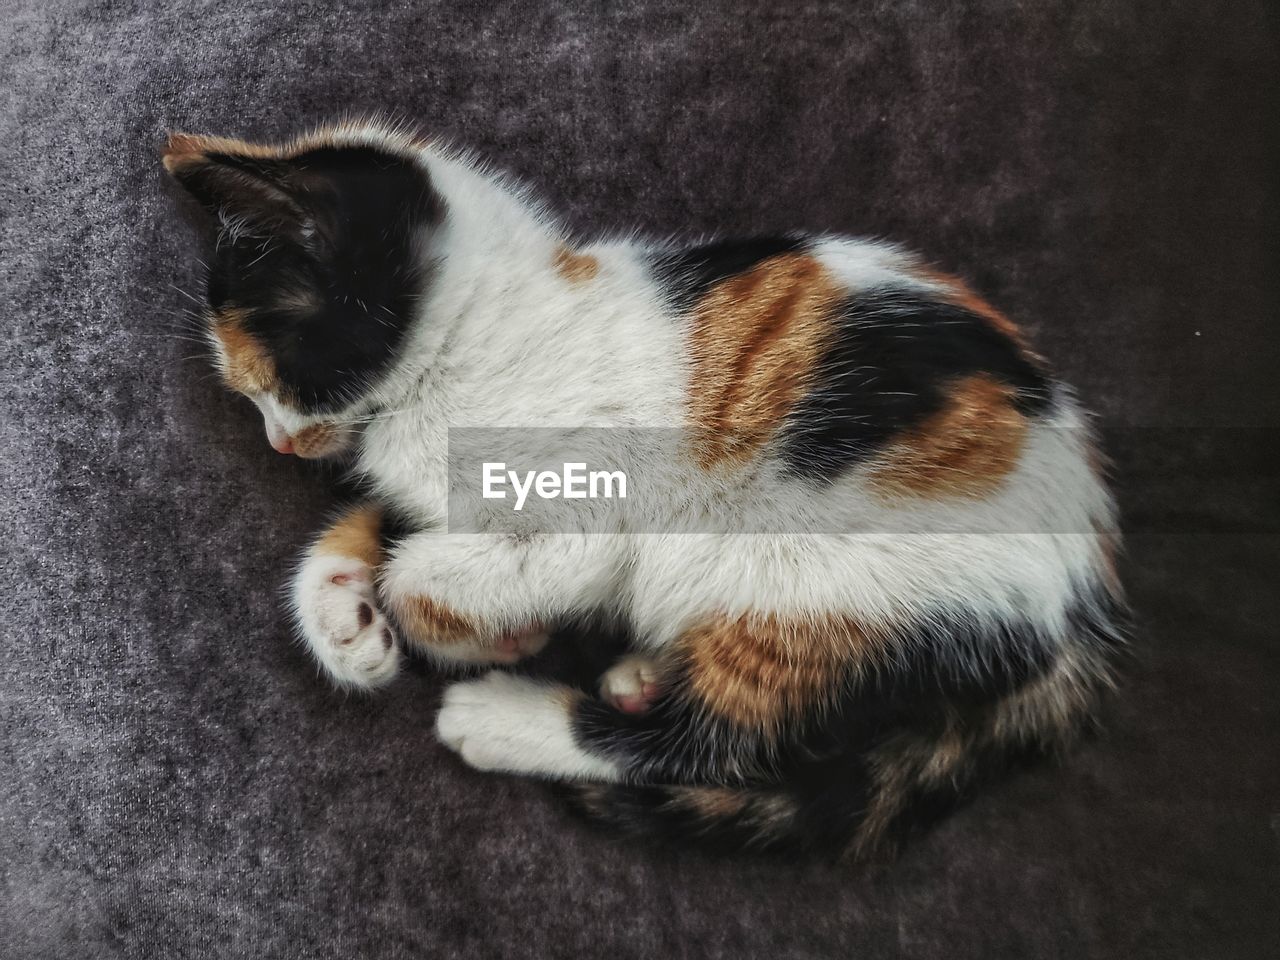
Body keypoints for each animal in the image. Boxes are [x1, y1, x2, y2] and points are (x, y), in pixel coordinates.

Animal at [162, 116, 1131, 860]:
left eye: (260, 376)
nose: (278, 440)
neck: (473, 339)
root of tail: (1079, 605)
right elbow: (388, 524)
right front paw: (345, 615)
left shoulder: (594, 501)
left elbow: (444, 570)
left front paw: (484, 632)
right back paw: (635, 673)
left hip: (814, 589)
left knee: (714, 750)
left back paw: (512, 716)